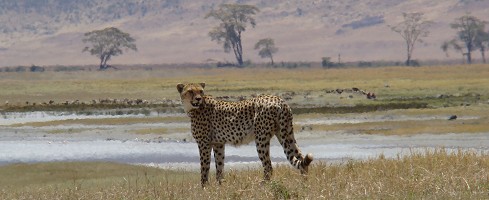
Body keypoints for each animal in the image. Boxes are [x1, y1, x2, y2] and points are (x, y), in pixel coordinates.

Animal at [176, 83, 312, 186]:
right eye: (190, 91)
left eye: (200, 91)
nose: (198, 98)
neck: (194, 108)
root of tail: (278, 99)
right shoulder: (218, 143)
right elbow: (219, 166)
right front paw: (220, 185)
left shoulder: (204, 143)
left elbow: (204, 166)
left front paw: (204, 187)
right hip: (286, 133)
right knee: (301, 158)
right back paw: (304, 184)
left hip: (261, 138)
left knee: (268, 166)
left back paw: (261, 185)